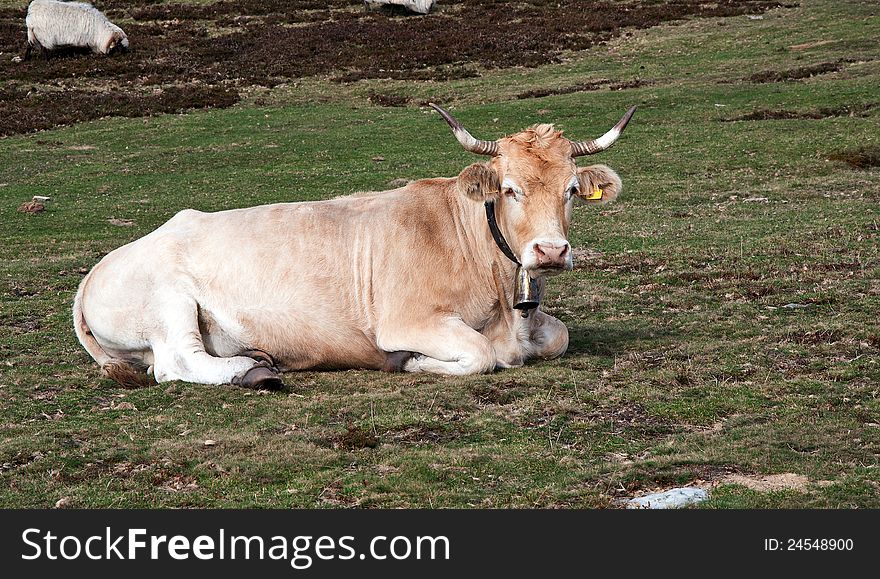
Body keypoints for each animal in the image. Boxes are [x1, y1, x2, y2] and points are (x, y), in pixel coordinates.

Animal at [70, 104, 632, 390]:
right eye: (511, 188)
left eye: (571, 190)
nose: (551, 251)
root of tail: (96, 271)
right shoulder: (407, 320)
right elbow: (480, 354)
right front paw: (414, 363)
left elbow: (558, 336)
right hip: (170, 302)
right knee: (176, 364)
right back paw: (254, 371)